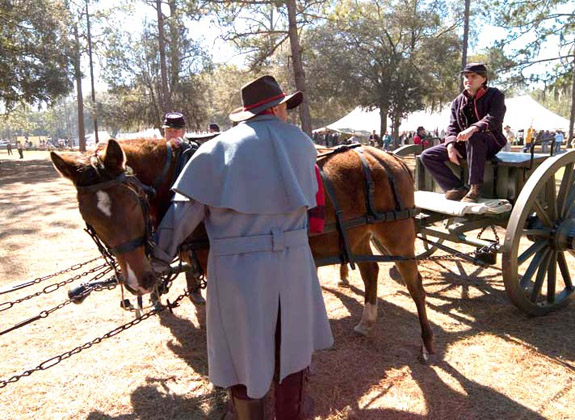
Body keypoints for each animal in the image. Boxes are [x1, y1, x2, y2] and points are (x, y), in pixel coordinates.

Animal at [51, 138, 434, 354]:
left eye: (132, 203)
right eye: (88, 216)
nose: (138, 281)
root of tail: (390, 157)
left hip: (397, 233)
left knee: (414, 284)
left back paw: (427, 342)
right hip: (358, 235)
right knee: (369, 272)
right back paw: (367, 321)